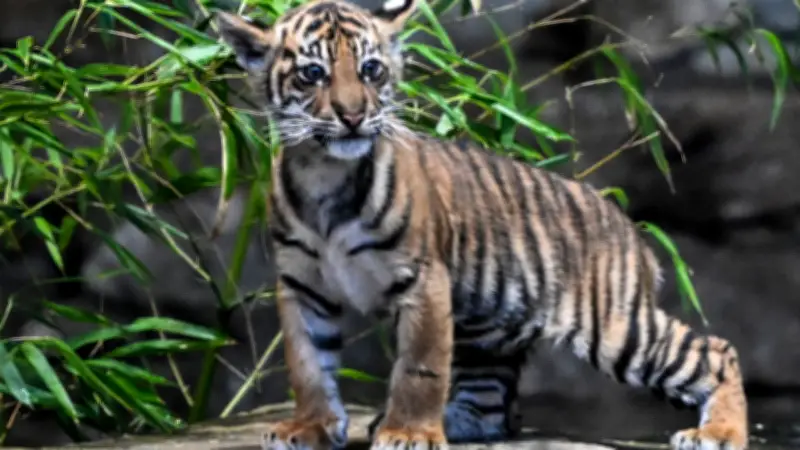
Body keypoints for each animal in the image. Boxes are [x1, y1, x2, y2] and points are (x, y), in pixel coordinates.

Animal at [215, 0, 749, 449]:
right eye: (313, 74)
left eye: (371, 69)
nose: (353, 115)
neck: (325, 171)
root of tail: (625, 222)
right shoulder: (302, 285)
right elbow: (307, 364)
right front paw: (309, 426)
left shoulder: (422, 279)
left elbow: (420, 367)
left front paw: (408, 433)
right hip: (490, 332)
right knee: (492, 407)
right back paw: (452, 421)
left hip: (613, 324)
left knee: (714, 350)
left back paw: (719, 433)